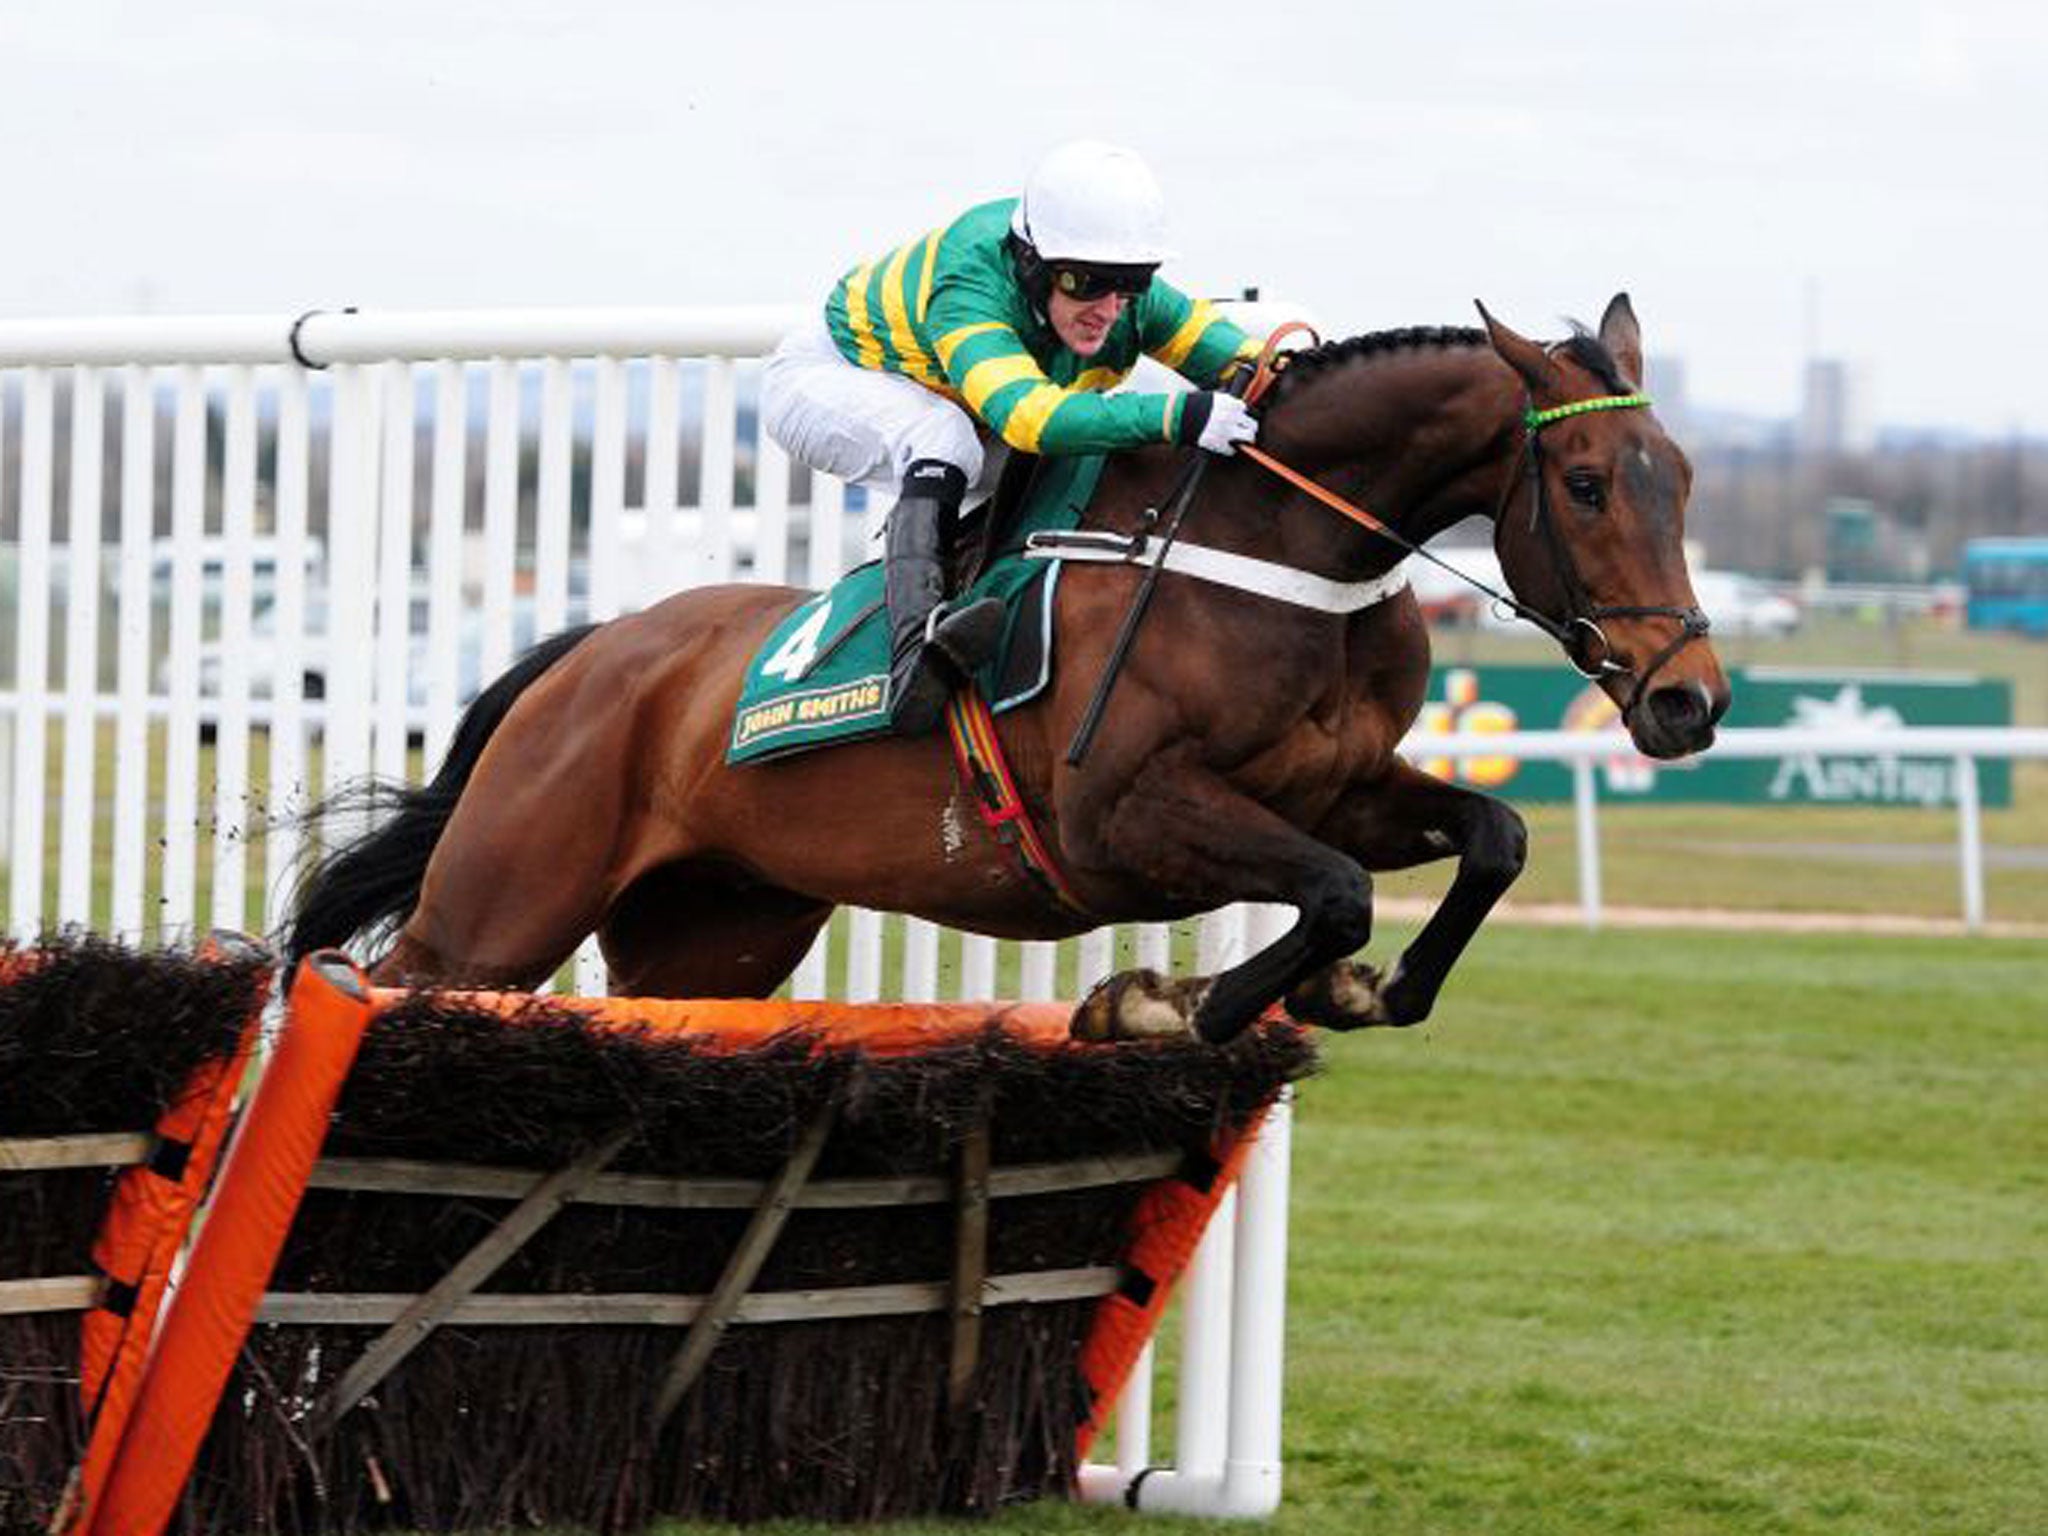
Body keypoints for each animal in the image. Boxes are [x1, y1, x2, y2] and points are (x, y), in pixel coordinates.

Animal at [284, 296, 1728, 1048]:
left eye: (1682, 476)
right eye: (1586, 483)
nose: (1687, 700)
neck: (1276, 549)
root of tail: (592, 654)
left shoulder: (1337, 787)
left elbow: (1490, 836)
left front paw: (1368, 988)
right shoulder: (1123, 813)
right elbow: (1329, 894)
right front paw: (1164, 1003)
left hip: (712, 933)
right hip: (504, 902)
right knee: (380, 976)